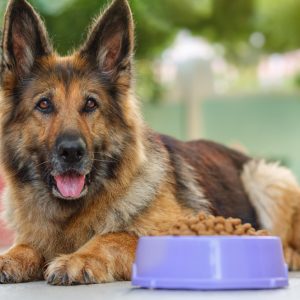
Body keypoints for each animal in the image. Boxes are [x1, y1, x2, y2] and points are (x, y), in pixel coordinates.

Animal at [0, 0, 300, 286]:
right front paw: (10, 257)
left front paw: (79, 258)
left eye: (90, 104)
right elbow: (25, 246)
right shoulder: (34, 237)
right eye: (44, 104)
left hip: (265, 176)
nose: (72, 152)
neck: (72, 213)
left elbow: (115, 235)